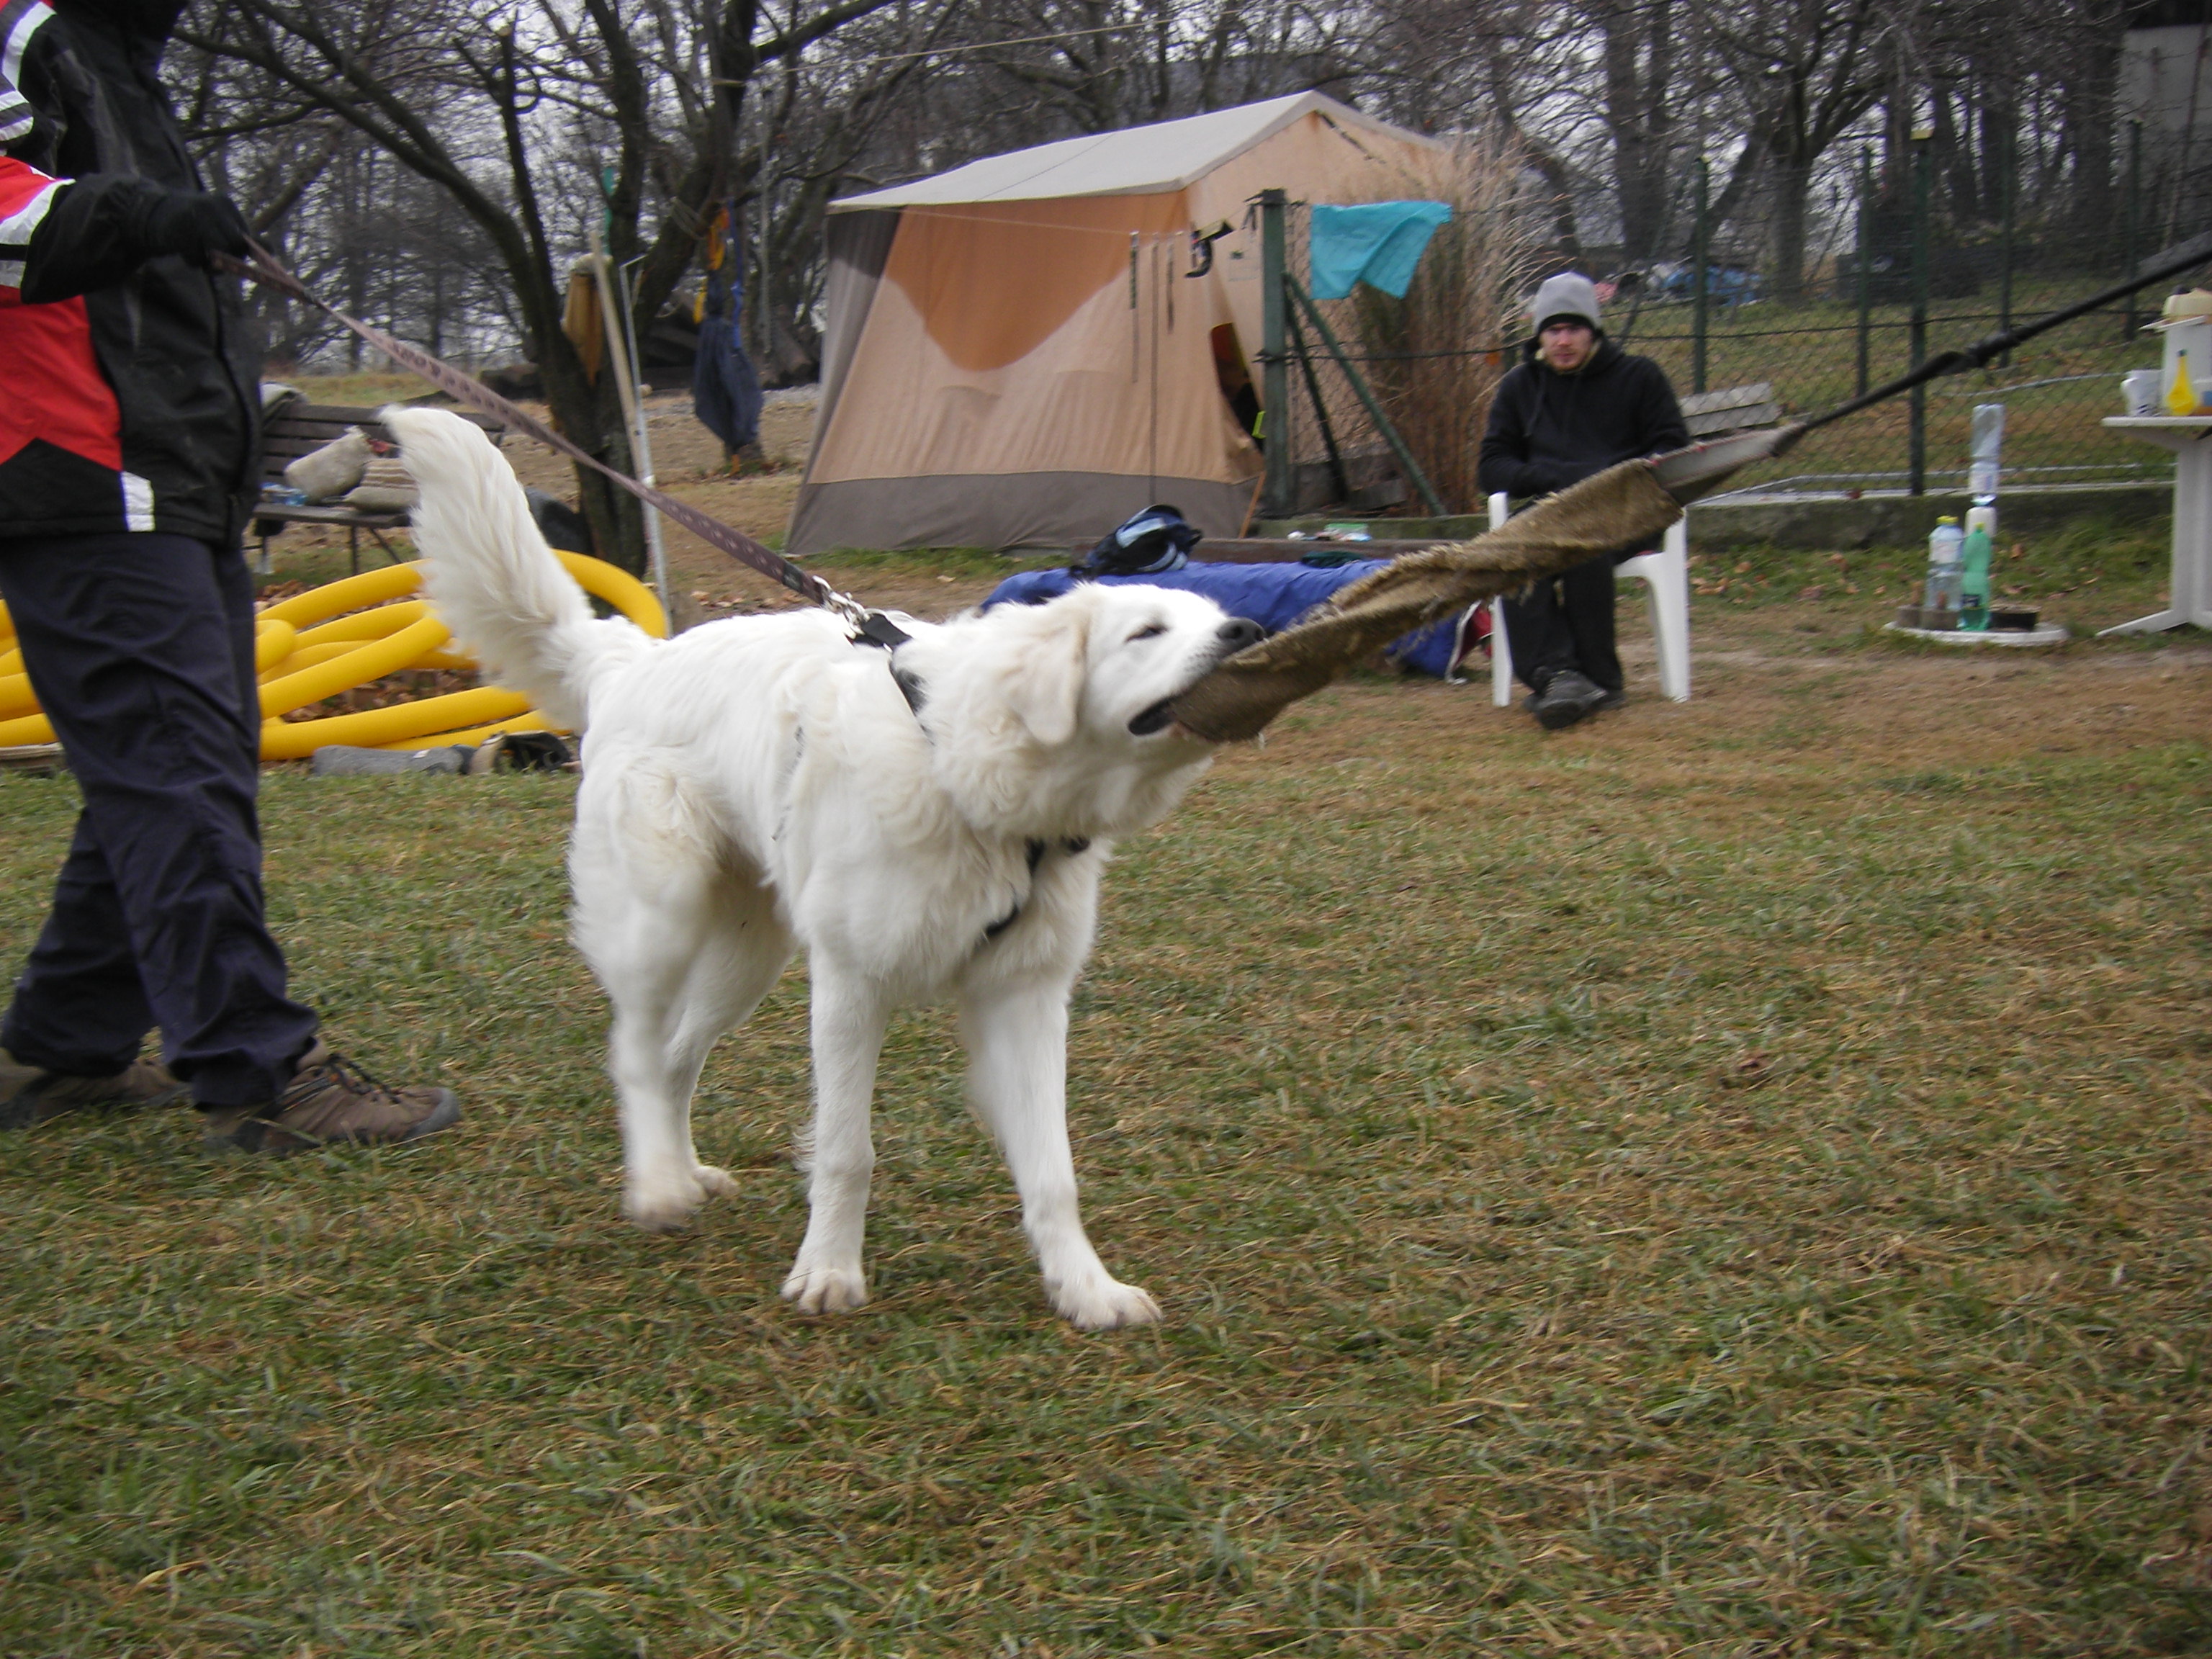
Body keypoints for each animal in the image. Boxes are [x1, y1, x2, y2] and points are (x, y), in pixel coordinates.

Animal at [389, 409, 1265, 1336]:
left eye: (1219, 618)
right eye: (1146, 633)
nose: (1248, 635)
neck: (964, 768)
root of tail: (636, 660)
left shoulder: (1026, 997)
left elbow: (1053, 1170)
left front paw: (1085, 1288)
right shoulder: (852, 987)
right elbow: (849, 1150)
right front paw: (830, 1273)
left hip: (747, 958)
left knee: (674, 1057)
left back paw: (684, 1170)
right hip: (662, 921)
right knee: (633, 1048)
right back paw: (659, 1186)